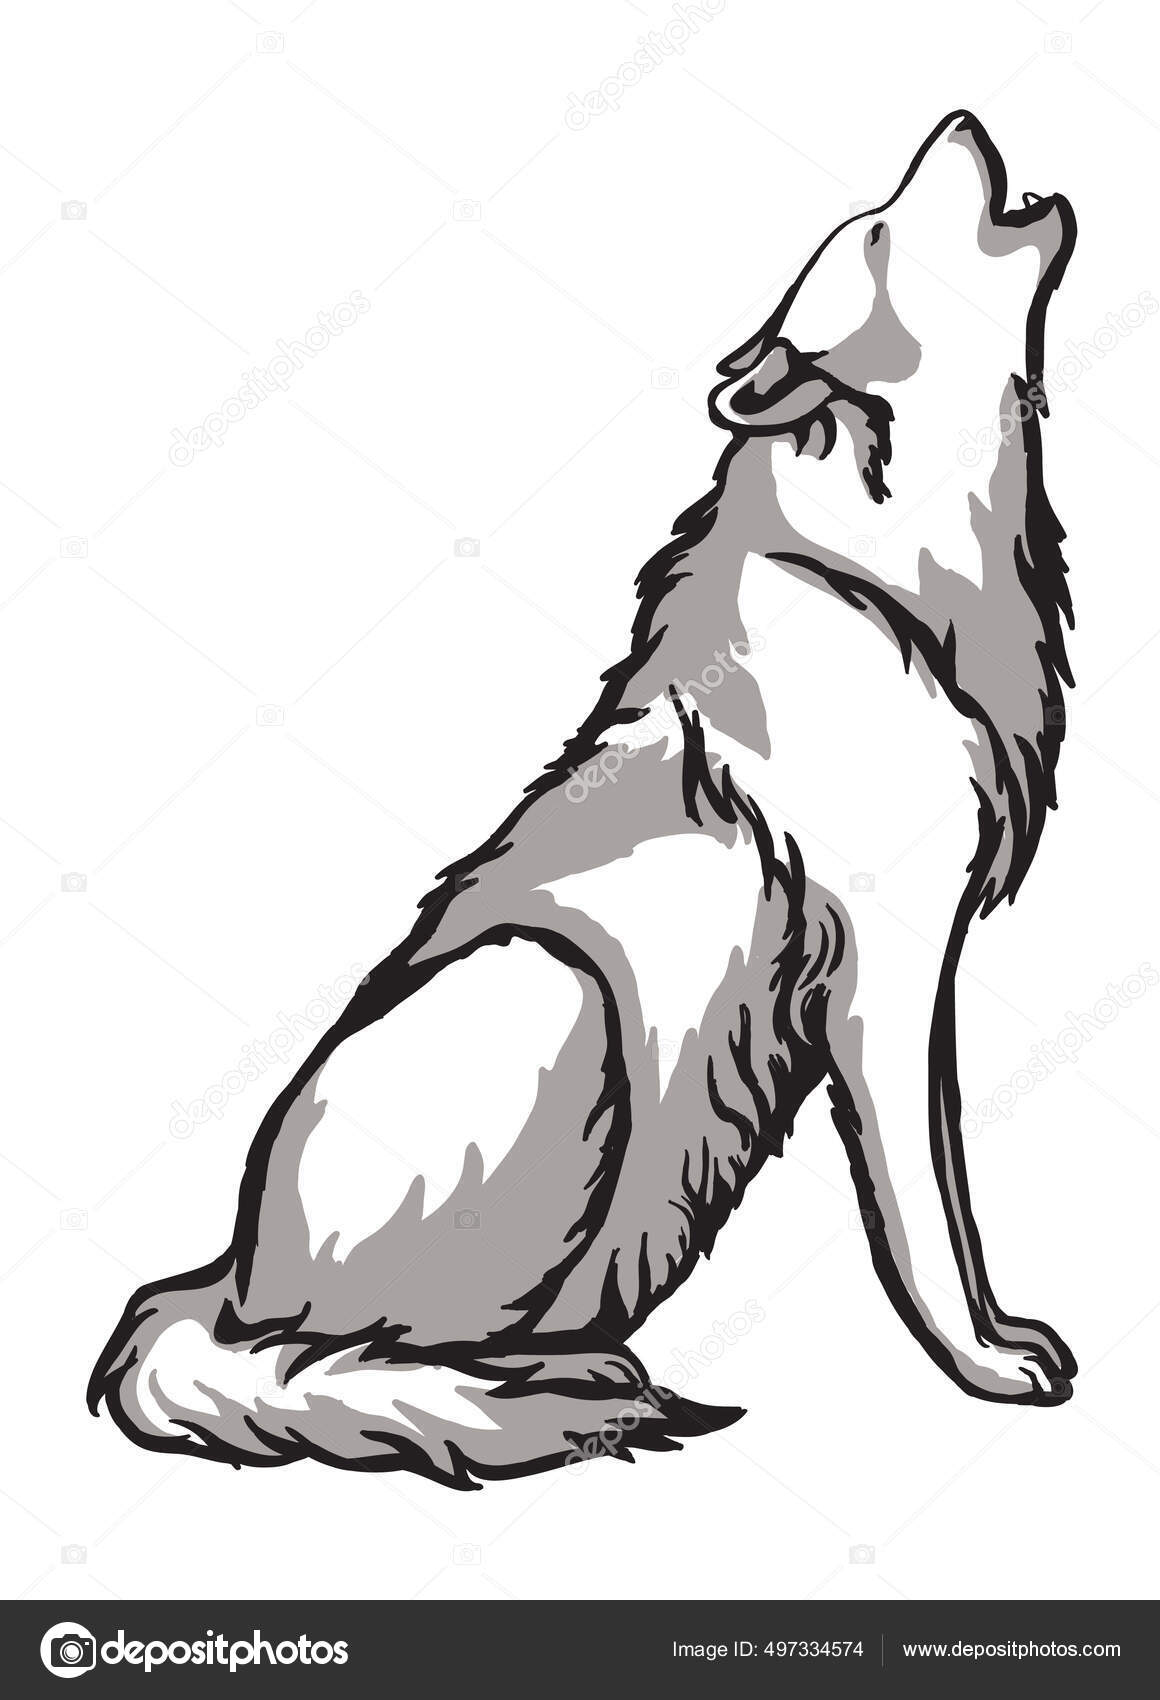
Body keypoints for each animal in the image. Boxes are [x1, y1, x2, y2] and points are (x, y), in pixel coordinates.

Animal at [90, 113, 1078, 1487]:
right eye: (877, 233)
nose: (960, 119)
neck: (884, 577)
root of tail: (227, 1275)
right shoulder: (888, 965)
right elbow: (925, 1200)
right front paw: (983, 1362)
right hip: (554, 985)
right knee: (332, 1356)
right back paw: (533, 1395)